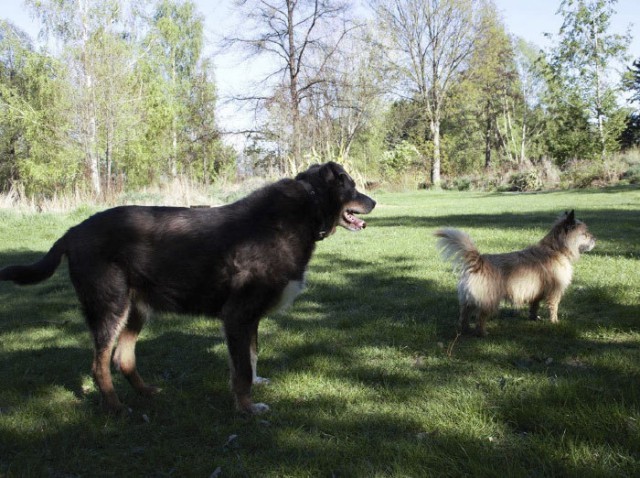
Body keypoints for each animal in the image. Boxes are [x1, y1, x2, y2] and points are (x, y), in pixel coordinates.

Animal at [0, 162, 376, 414]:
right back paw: (116, 407)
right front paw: (247, 409)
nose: (373, 202)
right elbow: (242, 369)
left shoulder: (248, 318)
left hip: (135, 310)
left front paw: (254, 388)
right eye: (351, 185)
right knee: (99, 366)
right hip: (110, 308)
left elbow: (251, 357)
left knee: (123, 358)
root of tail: (73, 231)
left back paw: (146, 392)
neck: (306, 208)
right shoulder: (238, 315)